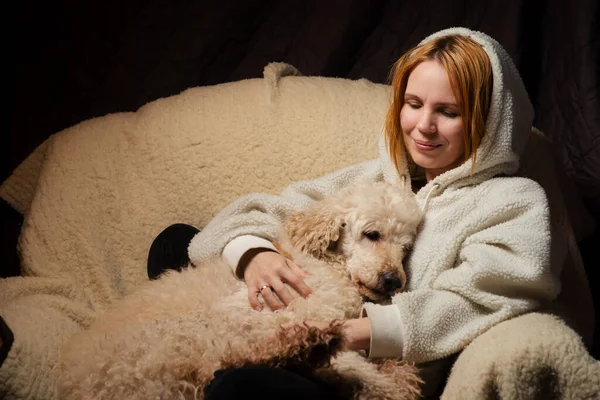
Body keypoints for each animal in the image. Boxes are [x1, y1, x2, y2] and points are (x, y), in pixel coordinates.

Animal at [56, 182, 422, 400]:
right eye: (372, 234)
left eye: (406, 248)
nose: (393, 280)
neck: (328, 265)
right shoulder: (279, 310)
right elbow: (361, 368)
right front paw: (392, 385)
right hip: (173, 343)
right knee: (233, 359)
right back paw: (309, 346)